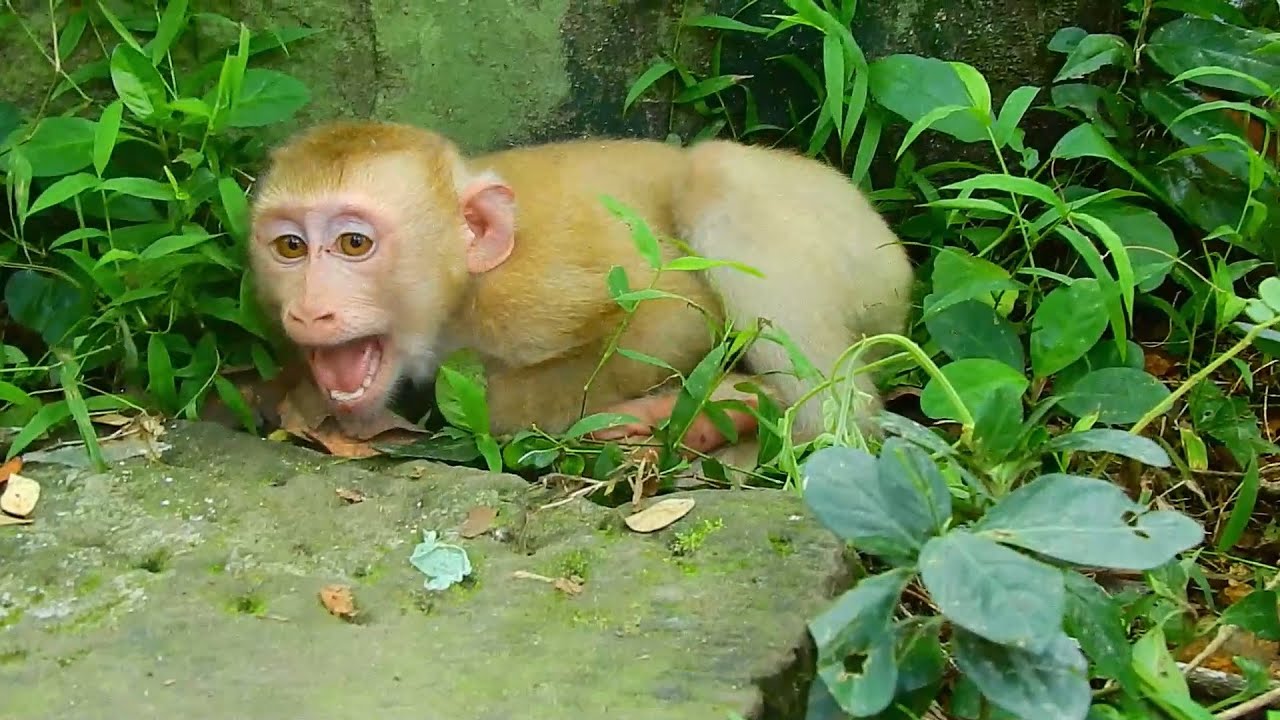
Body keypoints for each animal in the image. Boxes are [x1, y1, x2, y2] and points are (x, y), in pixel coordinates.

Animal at [247, 120, 914, 463]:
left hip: (862, 266)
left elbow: (678, 313)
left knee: (716, 177)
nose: (309, 310)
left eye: (354, 243)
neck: (462, 287)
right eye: (290, 248)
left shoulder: (526, 291)